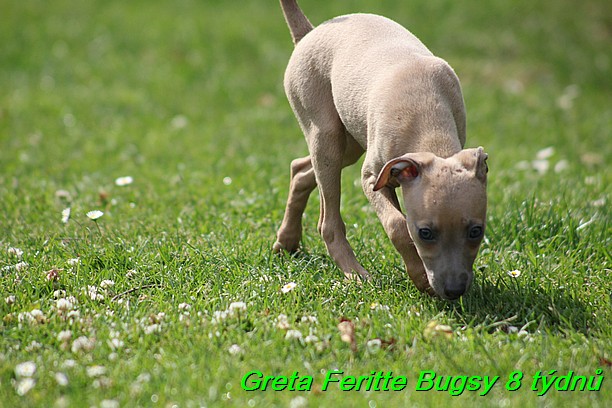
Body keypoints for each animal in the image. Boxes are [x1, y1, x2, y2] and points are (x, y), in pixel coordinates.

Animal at [273, 0, 488, 300]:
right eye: (425, 233)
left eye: (476, 231)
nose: (454, 291)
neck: (425, 115)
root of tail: (309, 32)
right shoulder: (373, 178)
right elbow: (397, 225)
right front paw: (420, 278)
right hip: (326, 135)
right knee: (328, 222)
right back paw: (355, 275)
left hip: (348, 142)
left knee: (301, 170)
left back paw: (287, 241)